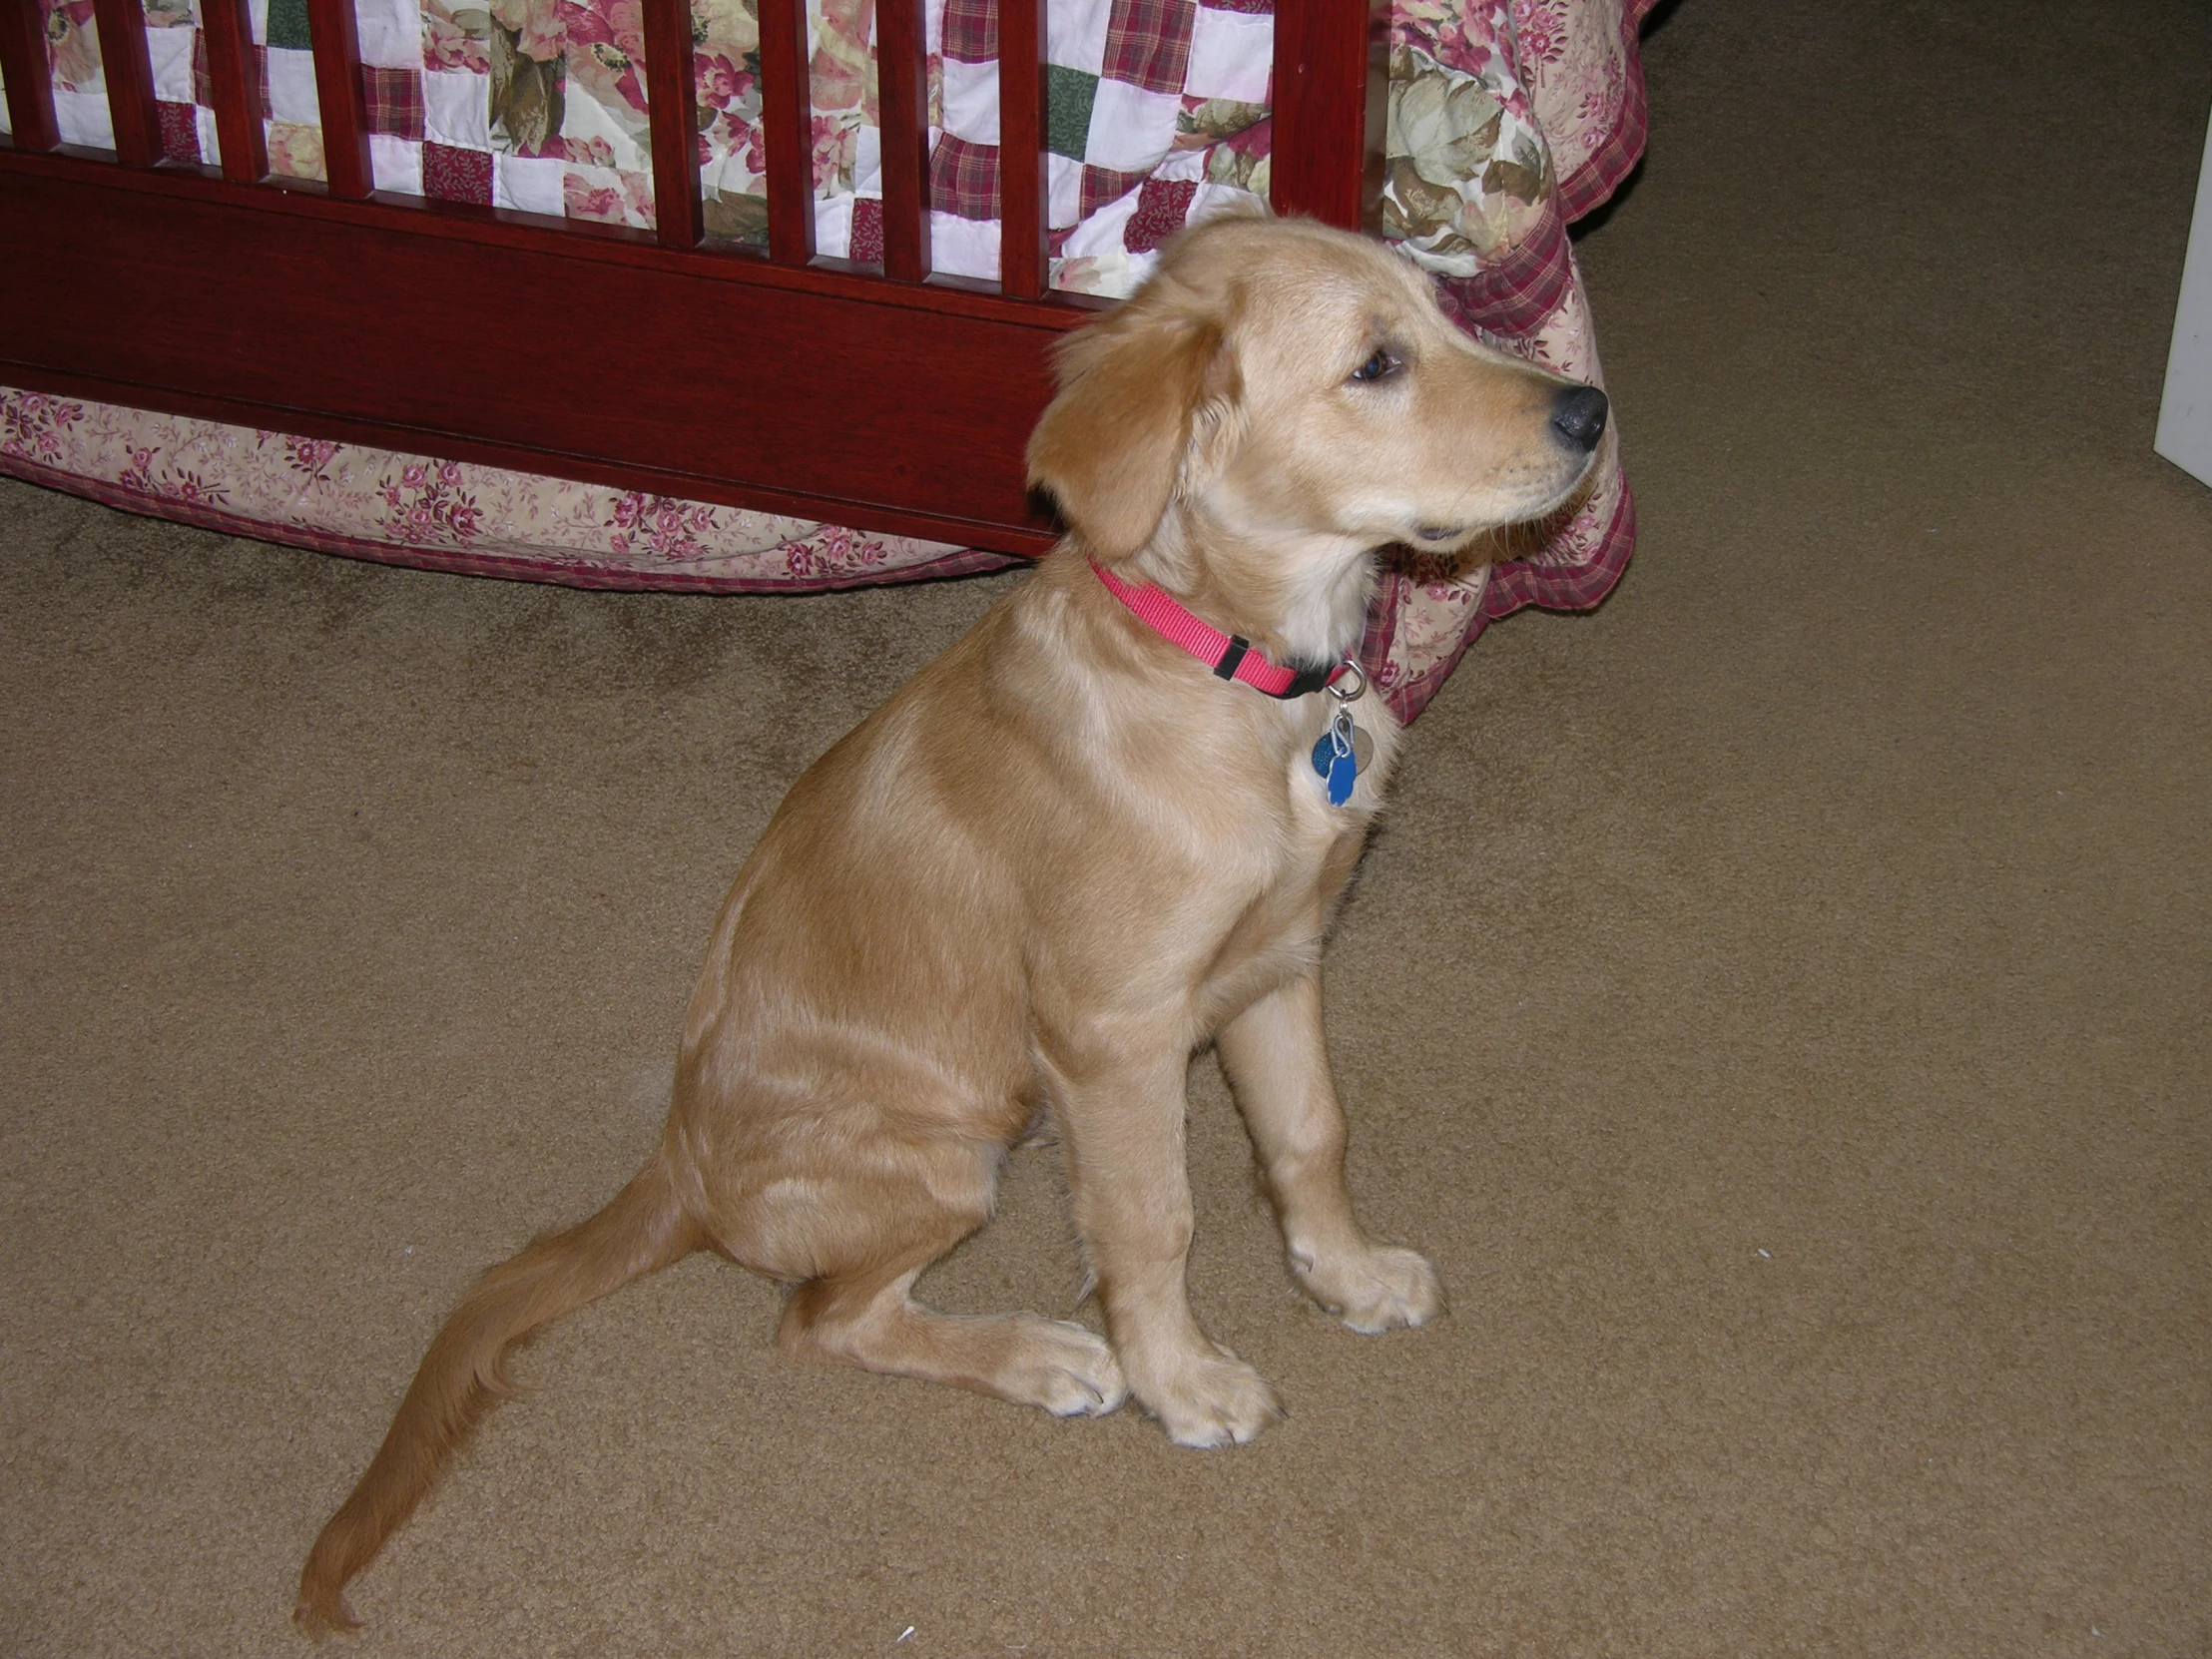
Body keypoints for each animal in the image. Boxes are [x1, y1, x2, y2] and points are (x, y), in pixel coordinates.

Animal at [293, 211, 1610, 1636]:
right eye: (1374, 365)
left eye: (1444, 314)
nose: (1590, 412)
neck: (1230, 670)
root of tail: (675, 1165)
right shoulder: (1112, 1034)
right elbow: (1153, 1221)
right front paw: (1182, 1380)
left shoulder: (1278, 960)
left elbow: (1311, 1137)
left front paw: (1346, 1277)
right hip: (948, 1156)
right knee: (822, 1323)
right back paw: (1040, 1355)